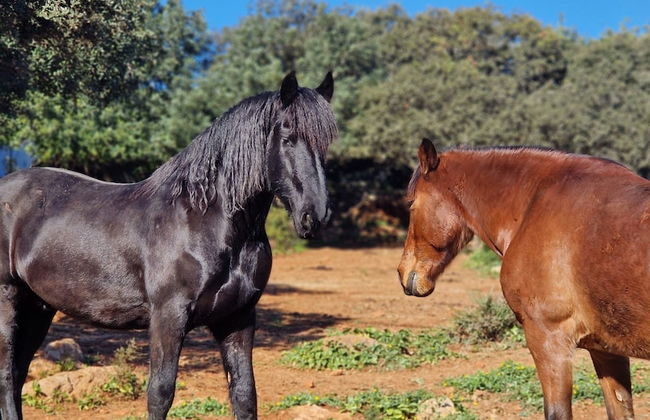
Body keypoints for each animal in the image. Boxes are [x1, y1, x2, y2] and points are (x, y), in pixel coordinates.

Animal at [0, 71, 337, 420]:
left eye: (326, 142)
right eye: (287, 136)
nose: (316, 215)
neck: (205, 221)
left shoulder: (239, 317)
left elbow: (245, 394)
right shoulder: (168, 317)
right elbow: (160, 393)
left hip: (38, 306)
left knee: (19, 372)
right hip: (8, 298)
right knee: (7, 373)